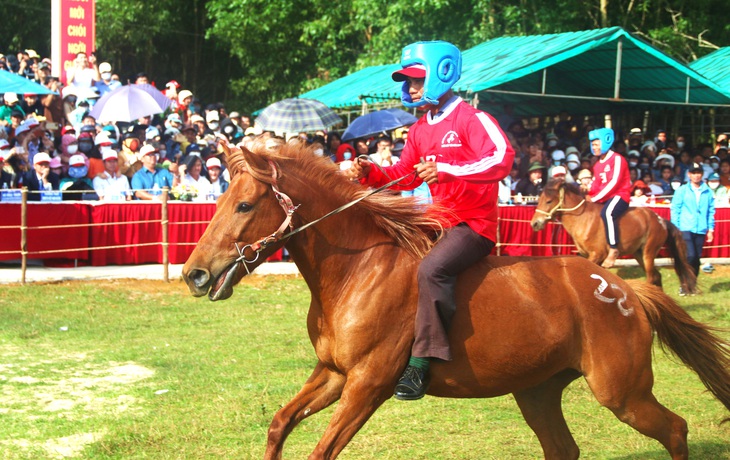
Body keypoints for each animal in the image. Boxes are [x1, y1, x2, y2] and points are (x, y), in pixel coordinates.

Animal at [528, 178, 692, 292]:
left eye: (549, 201)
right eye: (539, 200)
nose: (535, 223)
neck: (582, 218)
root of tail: (660, 219)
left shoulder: (597, 255)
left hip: (648, 252)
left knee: (652, 277)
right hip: (638, 254)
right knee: (657, 276)